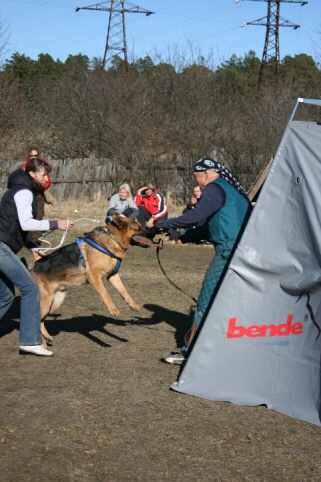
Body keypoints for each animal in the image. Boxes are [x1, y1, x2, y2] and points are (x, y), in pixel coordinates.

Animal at [30, 216, 151, 346]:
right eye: (138, 228)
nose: (152, 233)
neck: (110, 239)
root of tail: (32, 270)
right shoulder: (95, 277)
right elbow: (106, 294)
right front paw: (113, 310)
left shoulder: (113, 276)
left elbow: (124, 291)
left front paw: (132, 304)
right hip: (46, 303)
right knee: (34, 320)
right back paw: (41, 343)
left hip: (55, 303)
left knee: (40, 320)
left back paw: (46, 337)